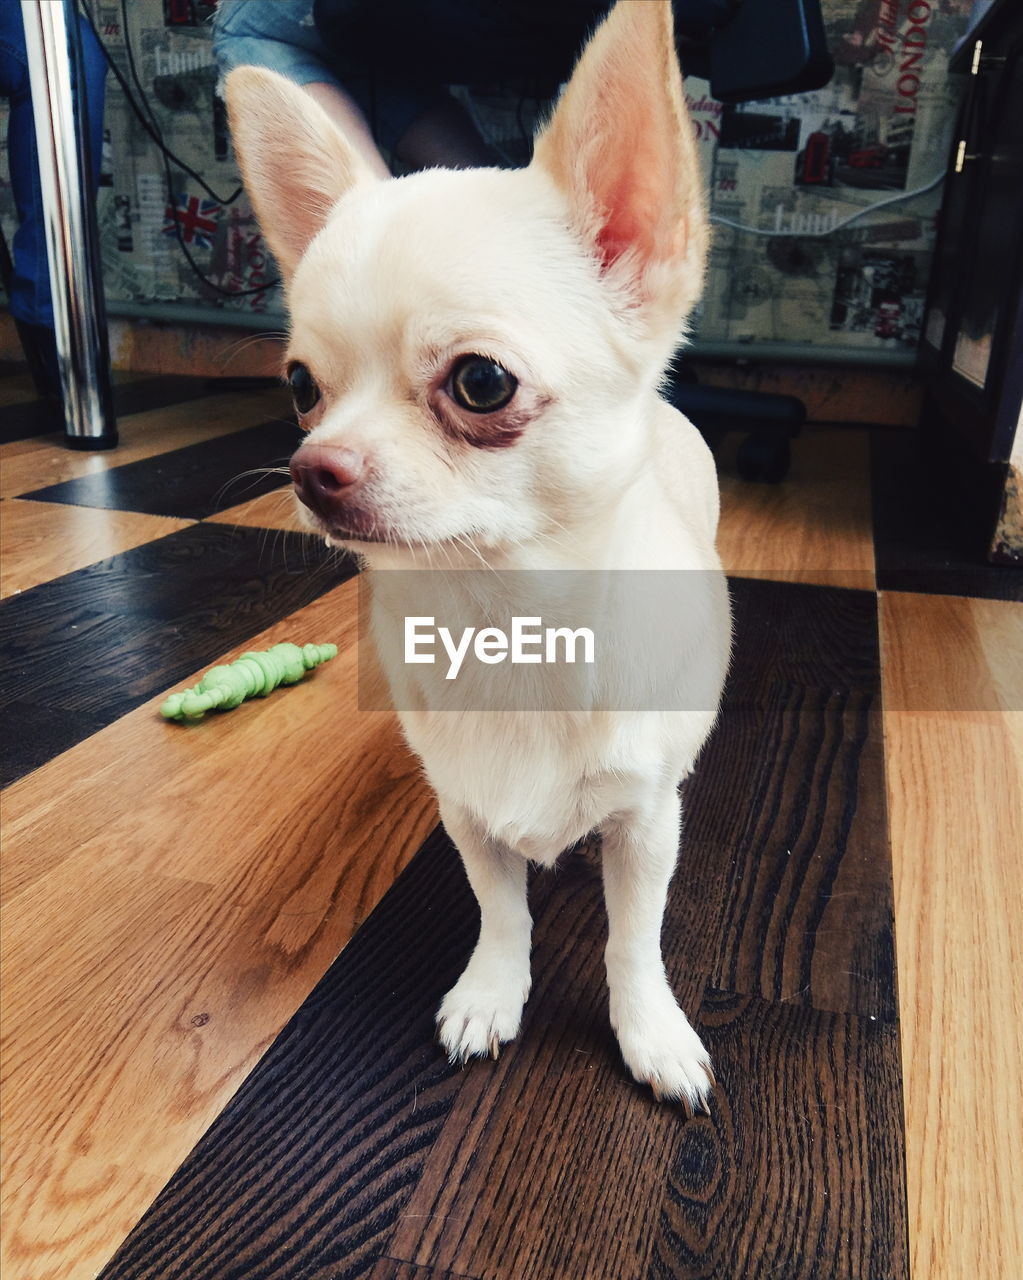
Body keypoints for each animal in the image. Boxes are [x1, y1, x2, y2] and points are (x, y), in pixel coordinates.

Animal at [227, 0, 732, 1105]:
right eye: (300, 386)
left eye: (481, 382)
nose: (312, 467)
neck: (503, 617)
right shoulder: (466, 811)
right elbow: (501, 909)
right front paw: (491, 993)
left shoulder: (644, 825)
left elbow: (633, 937)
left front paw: (650, 1031)